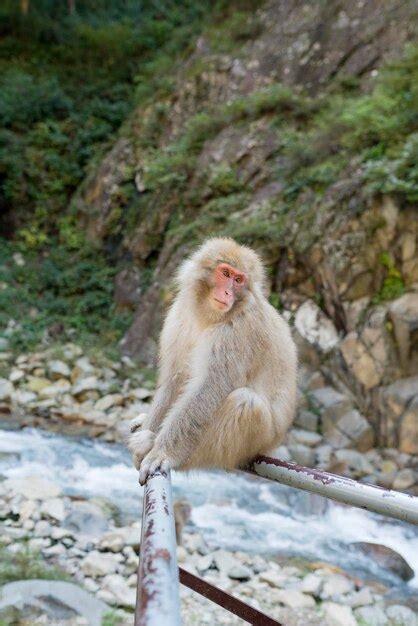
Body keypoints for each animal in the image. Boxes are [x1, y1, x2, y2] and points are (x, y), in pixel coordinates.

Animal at [128, 236, 298, 486]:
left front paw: (162, 452)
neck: (209, 316)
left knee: (245, 403)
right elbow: (175, 378)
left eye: (238, 280)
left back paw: (156, 445)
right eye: (225, 273)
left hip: (258, 440)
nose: (228, 292)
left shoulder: (237, 330)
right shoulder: (180, 313)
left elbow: (210, 388)